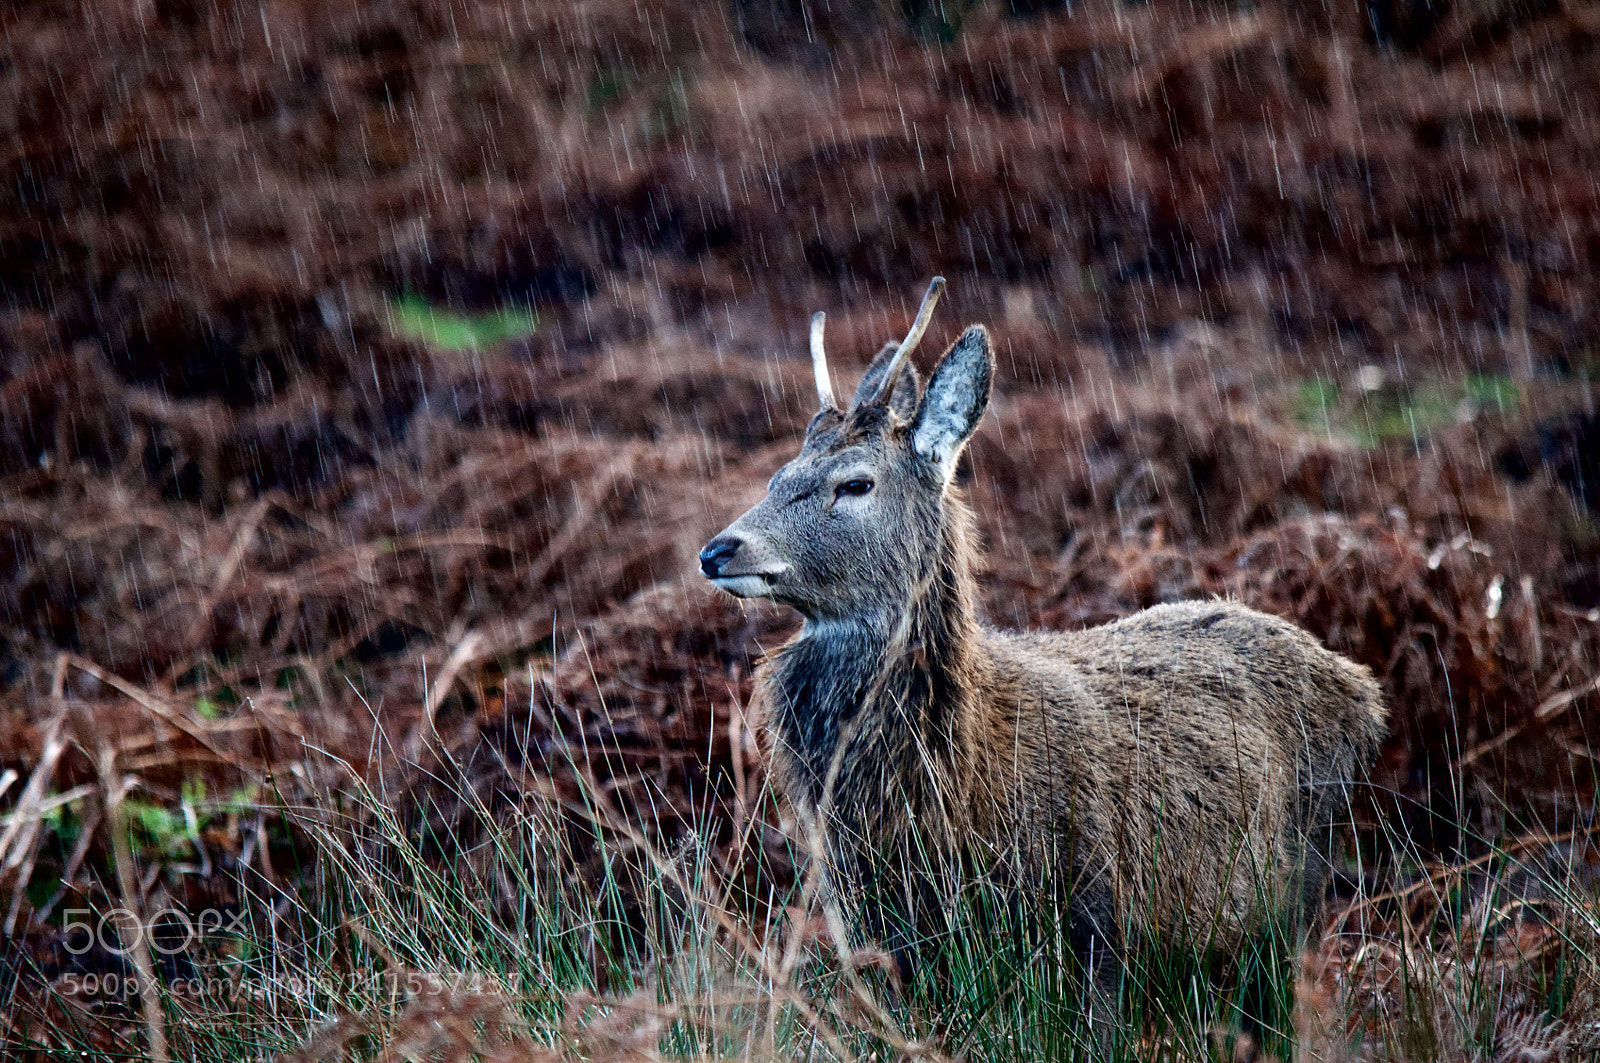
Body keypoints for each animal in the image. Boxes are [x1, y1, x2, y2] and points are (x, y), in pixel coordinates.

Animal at [698, 278, 1388, 1020]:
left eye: (855, 482)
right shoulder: (883, 935)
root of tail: (1363, 689)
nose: (718, 550)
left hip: (1306, 873)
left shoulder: (1098, 915)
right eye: (777, 476)